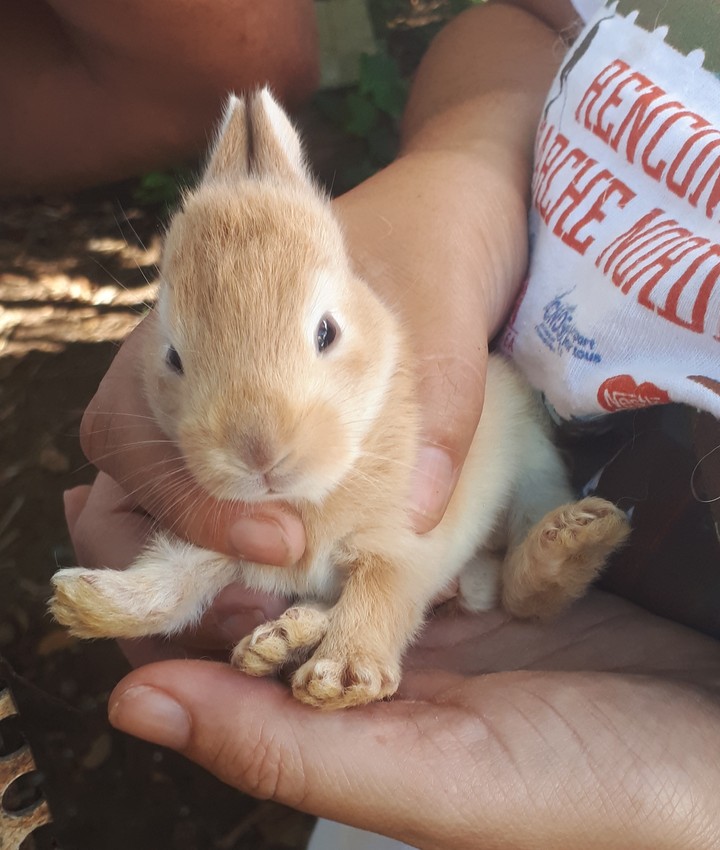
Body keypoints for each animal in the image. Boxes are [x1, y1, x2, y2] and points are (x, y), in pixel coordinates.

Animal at [50, 88, 630, 710]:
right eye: (173, 358)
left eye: (327, 332)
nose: (260, 453)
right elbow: (175, 581)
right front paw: (84, 602)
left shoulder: (403, 539)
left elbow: (381, 592)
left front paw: (343, 678)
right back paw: (276, 640)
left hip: (534, 468)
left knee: (522, 590)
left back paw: (573, 538)